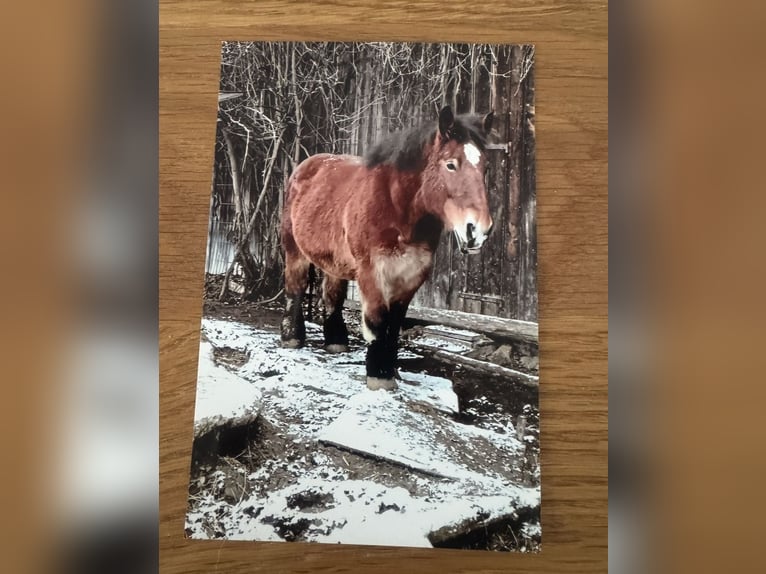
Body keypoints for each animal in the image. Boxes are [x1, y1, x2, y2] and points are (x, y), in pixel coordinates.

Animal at [280, 105, 494, 390]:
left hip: (334, 261)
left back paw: (336, 343)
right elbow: (378, 321)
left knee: (331, 296)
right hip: (294, 250)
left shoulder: (411, 275)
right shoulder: (373, 271)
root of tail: (305, 166)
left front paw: (391, 371)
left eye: (485, 167)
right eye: (451, 164)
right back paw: (292, 338)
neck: (397, 208)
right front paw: (379, 377)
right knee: (296, 288)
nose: (478, 231)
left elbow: (394, 325)